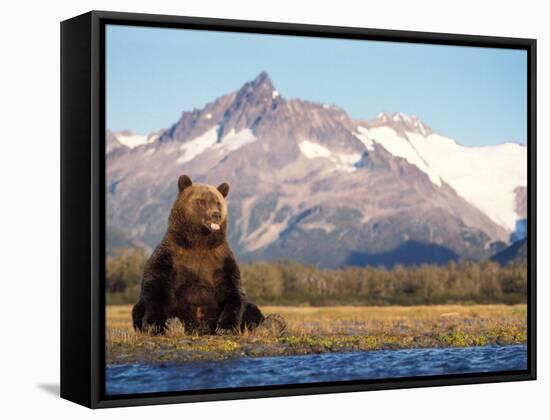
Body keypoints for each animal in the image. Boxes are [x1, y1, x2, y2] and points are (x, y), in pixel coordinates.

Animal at [132, 174, 266, 334]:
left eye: (218, 203)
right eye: (202, 201)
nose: (216, 214)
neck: (199, 242)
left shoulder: (220, 260)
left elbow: (234, 292)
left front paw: (226, 327)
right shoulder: (170, 256)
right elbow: (154, 285)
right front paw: (154, 324)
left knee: (252, 309)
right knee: (137, 308)